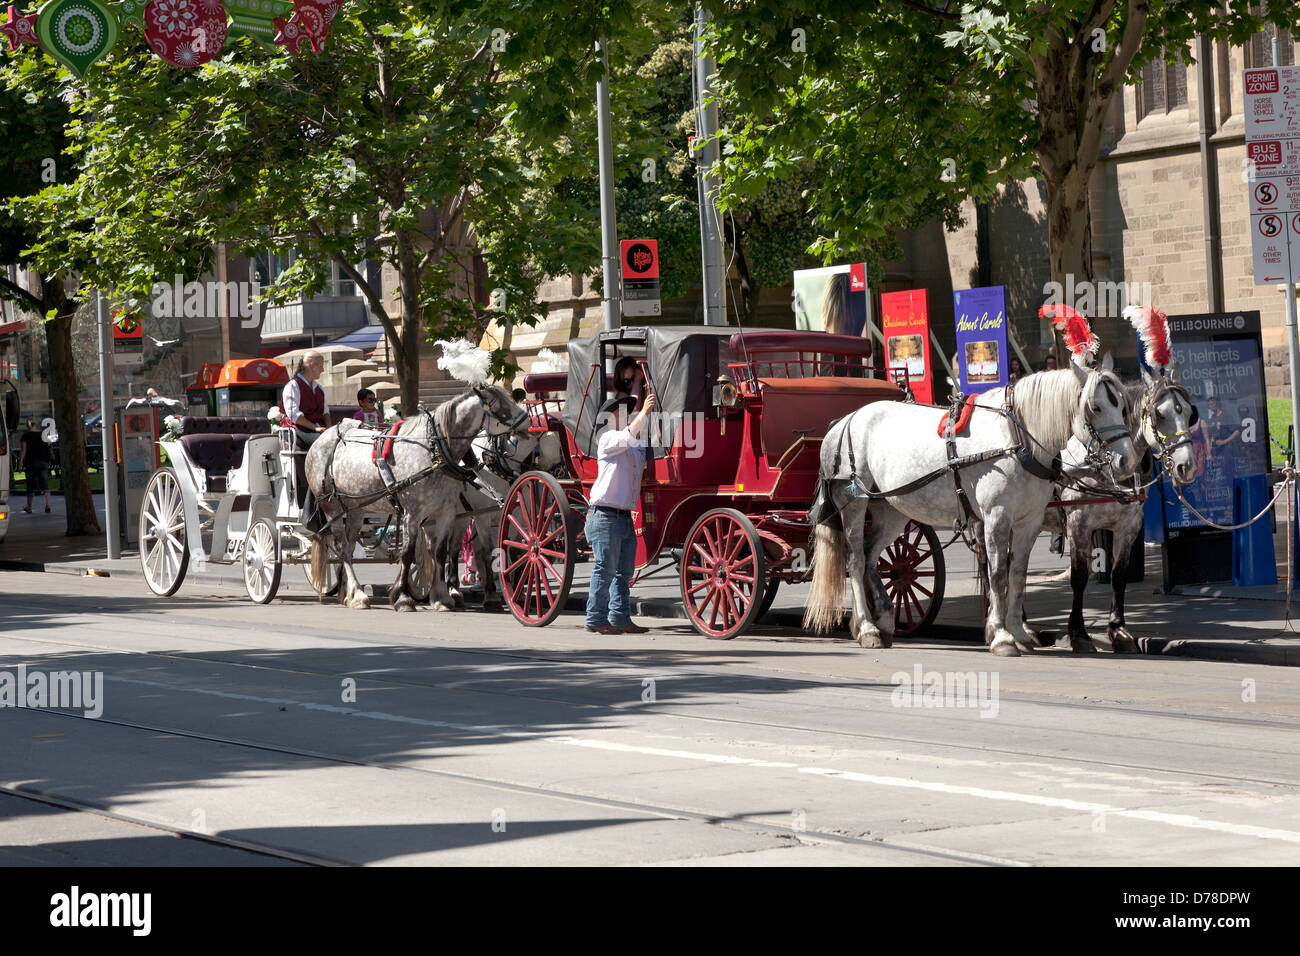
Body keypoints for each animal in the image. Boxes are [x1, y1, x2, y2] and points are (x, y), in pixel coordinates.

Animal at [304, 385, 527, 608]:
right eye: (502, 408)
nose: (528, 423)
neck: (434, 451)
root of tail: (322, 438)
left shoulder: (446, 512)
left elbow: (440, 552)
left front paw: (441, 598)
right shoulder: (413, 513)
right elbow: (408, 553)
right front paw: (403, 598)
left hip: (355, 509)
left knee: (349, 547)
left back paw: (349, 593)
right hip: (331, 506)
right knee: (342, 547)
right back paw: (358, 594)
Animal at [800, 358, 1138, 658]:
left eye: (1123, 406)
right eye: (1094, 407)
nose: (1127, 462)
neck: (1016, 440)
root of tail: (844, 421)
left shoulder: (1028, 521)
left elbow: (1017, 575)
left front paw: (1018, 632)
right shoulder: (996, 516)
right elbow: (998, 574)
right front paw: (1001, 636)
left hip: (891, 508)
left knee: (872, 557)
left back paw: (882, 620)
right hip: (854, 503)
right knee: (856, 560)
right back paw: (866, 627)